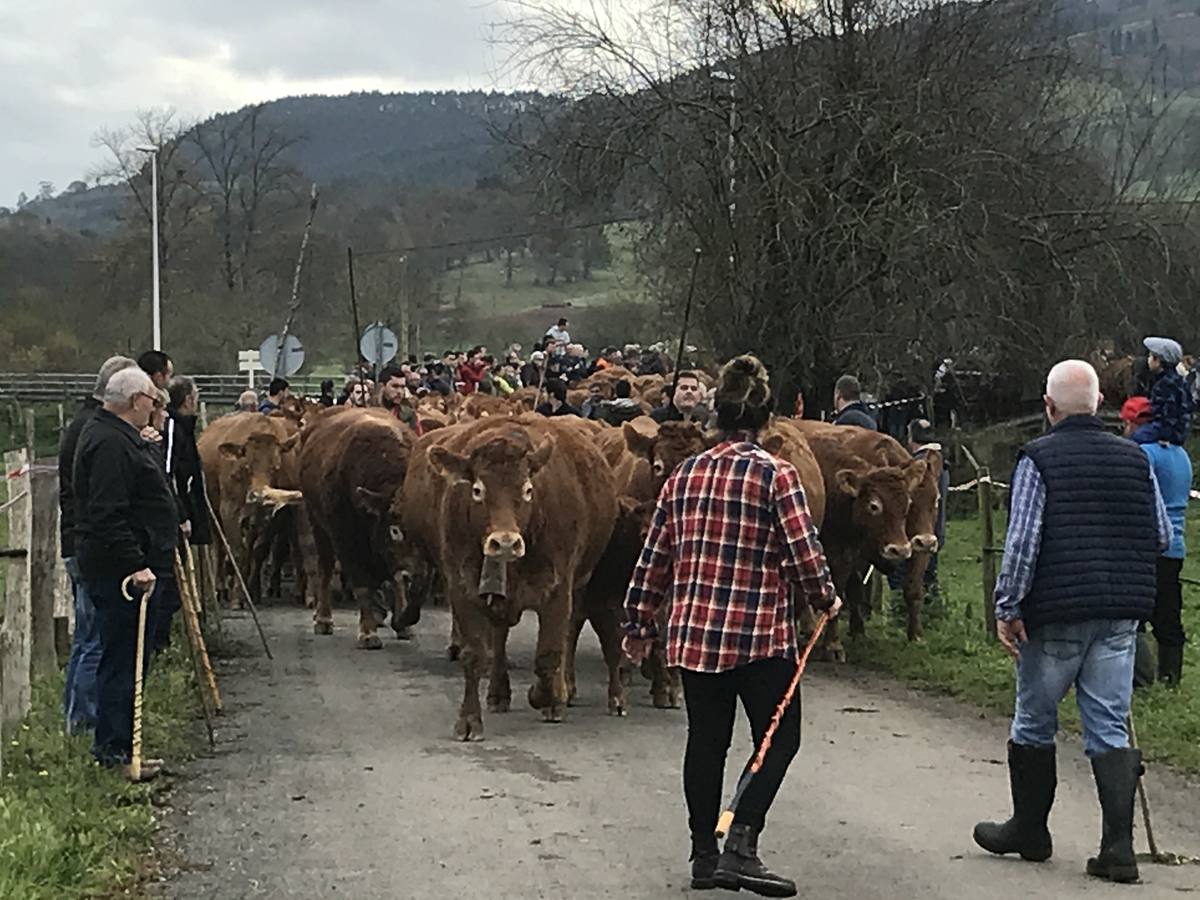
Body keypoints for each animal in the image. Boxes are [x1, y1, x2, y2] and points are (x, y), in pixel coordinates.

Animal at [298, 408, 417, 648]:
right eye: (394, 529)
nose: (413, 571)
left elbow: (397, 582)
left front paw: (404, 627)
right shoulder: (346, 541)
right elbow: (362, 585)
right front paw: (368, 633)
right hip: (317, 524)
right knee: (325, 568)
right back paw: (323, 619)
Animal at [410, 415, 619, 739]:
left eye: (528, 489)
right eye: (477, 490)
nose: (505, 542)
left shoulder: (558, 588)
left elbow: (548, 654)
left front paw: (547, 697)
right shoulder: (462, 587)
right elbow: (474, 654)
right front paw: (469, 720)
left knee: (567, 633)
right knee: (499, 639)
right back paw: (498, 693)